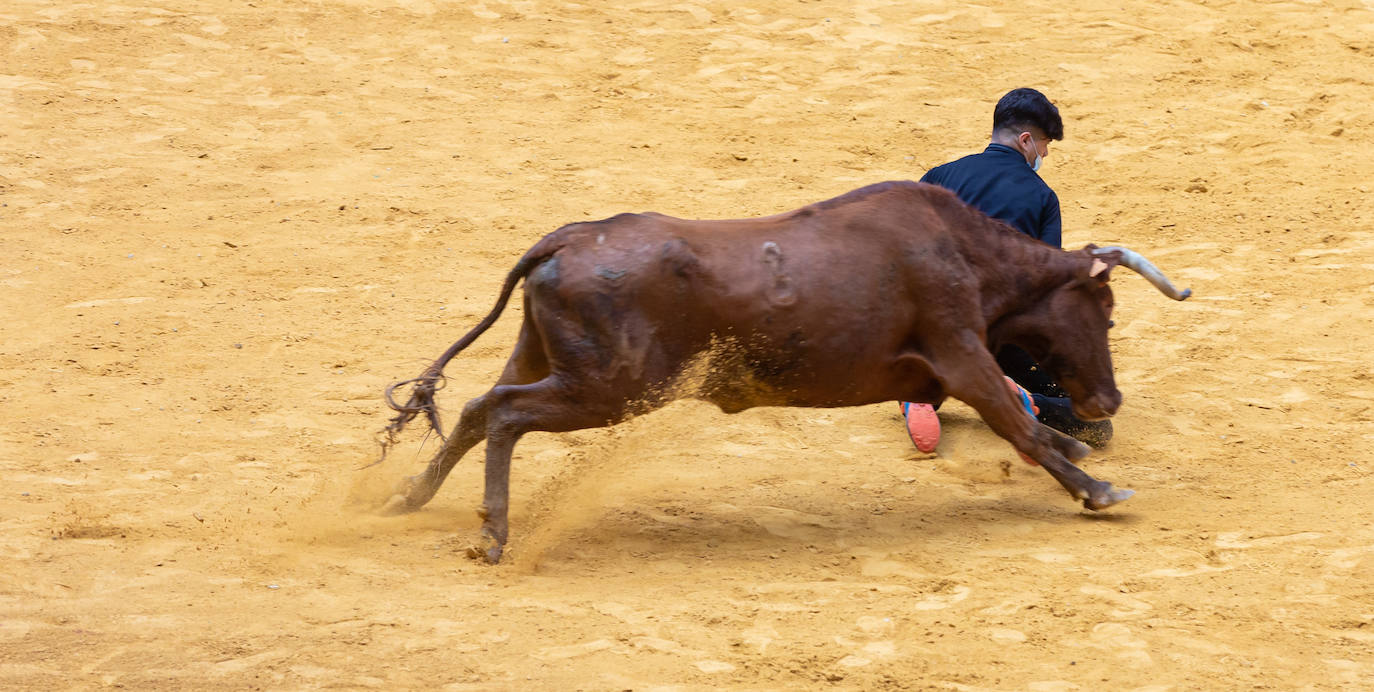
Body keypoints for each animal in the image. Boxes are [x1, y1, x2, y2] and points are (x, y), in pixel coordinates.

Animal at [379, 182, 1192, 562]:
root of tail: (568, 239)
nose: (1108, 397)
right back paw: (492, 535)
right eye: (1106, 313)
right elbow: (1023, 429)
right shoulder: (965, 357)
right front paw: (1098, 486)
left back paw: (408, 498)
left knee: (479, 407)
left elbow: (1026, 432)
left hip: (547, 359)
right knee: (506, 413)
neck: (967, 250)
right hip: (608, 389)